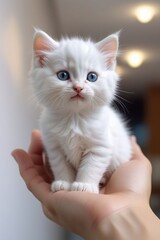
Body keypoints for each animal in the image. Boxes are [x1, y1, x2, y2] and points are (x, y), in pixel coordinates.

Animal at [30, 30, 132, 194]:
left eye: (92, 77)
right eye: (63, 75)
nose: (78, 87)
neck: (74, 118)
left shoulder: (100, 147)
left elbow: (91, 167)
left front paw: (84, 186)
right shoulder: (55, 148)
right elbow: (61, 166)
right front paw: (63, 183)